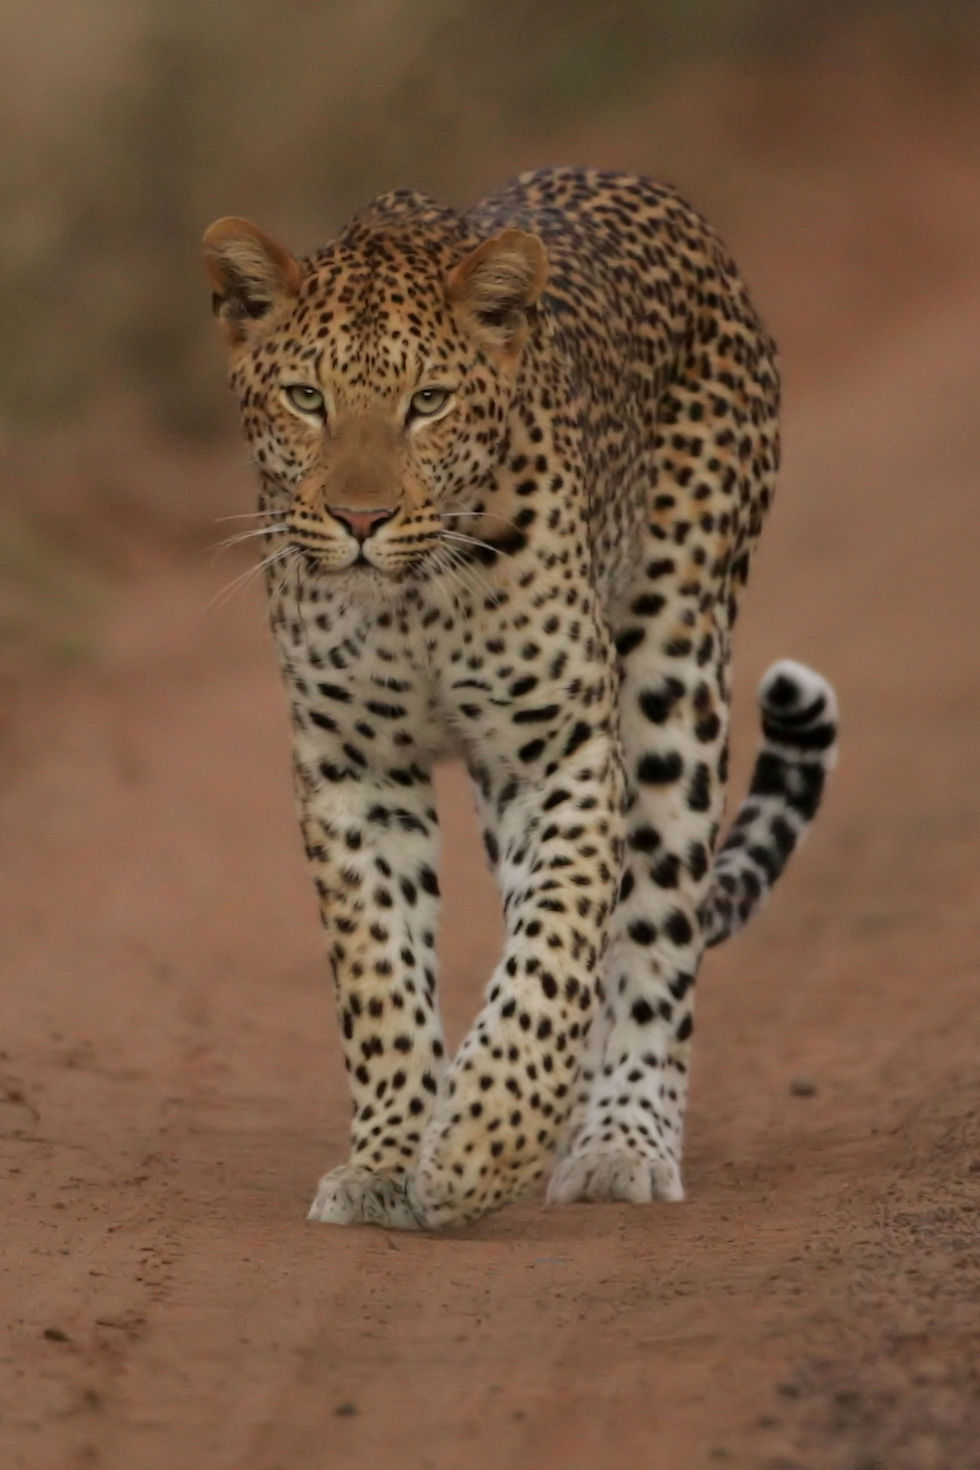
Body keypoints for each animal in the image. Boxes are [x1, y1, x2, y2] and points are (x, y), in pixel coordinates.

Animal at [202, 166, 838, 1230]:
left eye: (428, 402)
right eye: (306, 399)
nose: (362, 519)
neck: (413, 597)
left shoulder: (562, 752)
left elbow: (557, 949)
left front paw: (476, 1146)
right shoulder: (355, 768)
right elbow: (381, 974)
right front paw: (387, 1159)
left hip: (676, 671)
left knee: (652, 929)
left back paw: (619, 1138)